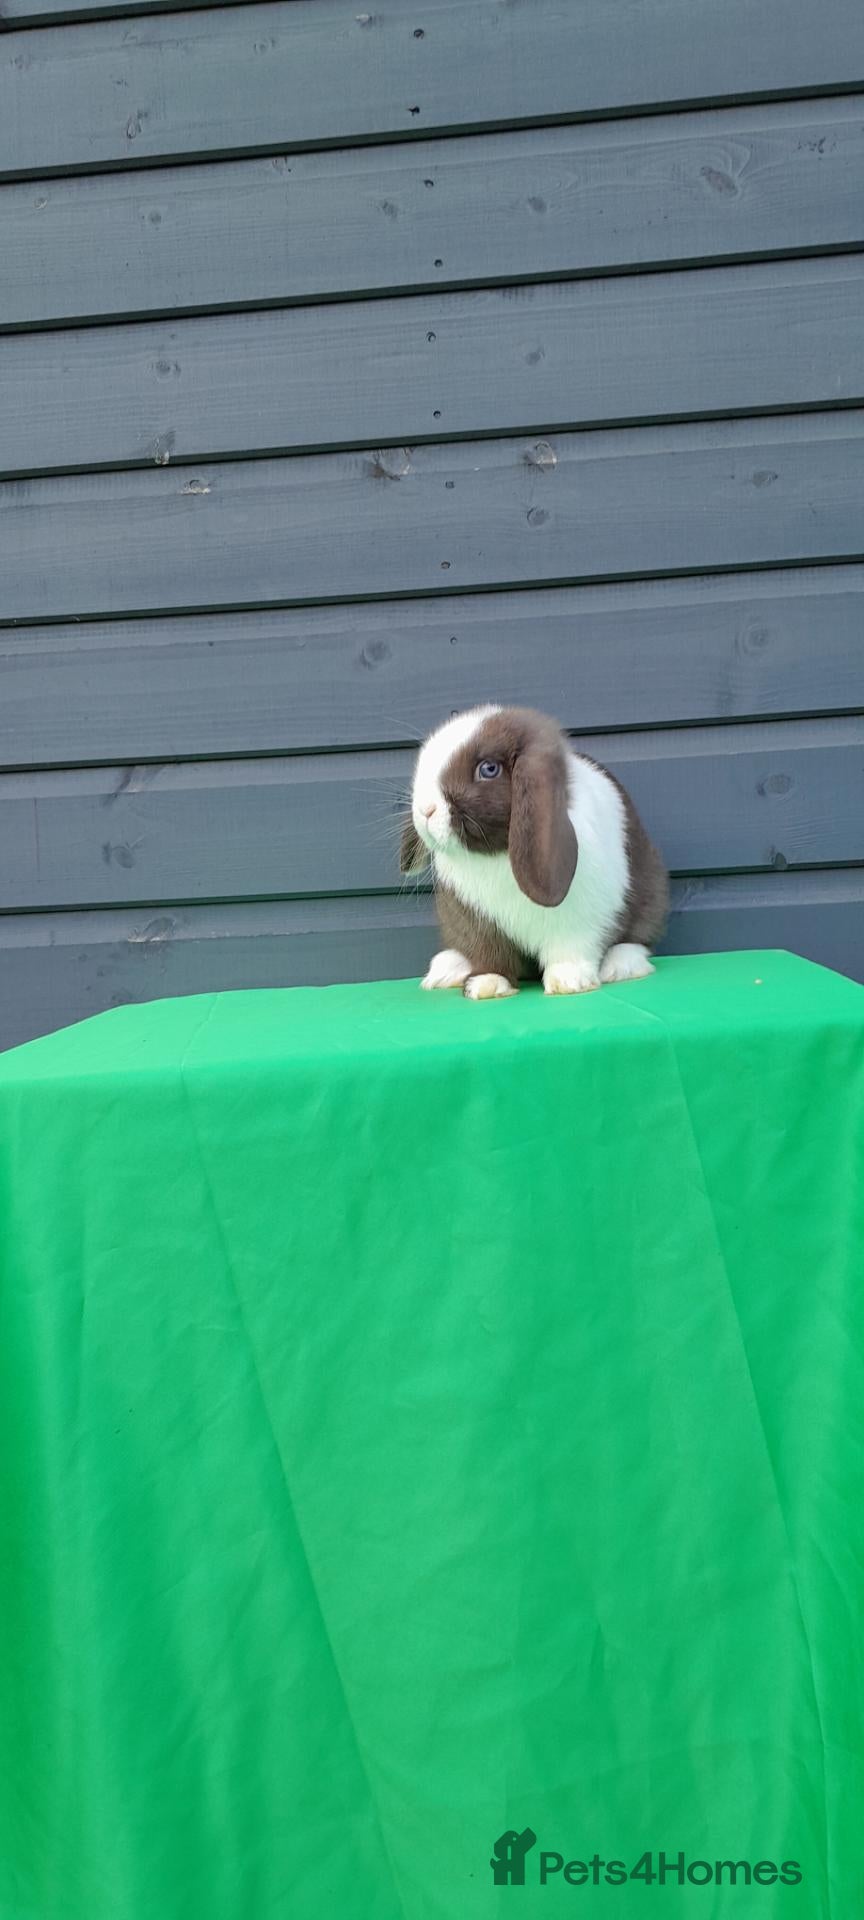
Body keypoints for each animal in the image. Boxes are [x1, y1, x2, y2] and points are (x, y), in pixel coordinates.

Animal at [400, 704, 669, 1000]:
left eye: (489, 769)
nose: (425, 810)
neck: (496, 855)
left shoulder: (580, 921)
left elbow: (570, 949)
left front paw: (569, 982)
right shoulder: (477, 921)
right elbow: (489, 954)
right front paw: (486, 984)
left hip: (651, 896)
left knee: (638, 940)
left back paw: (619, 966)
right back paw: (447, 968)